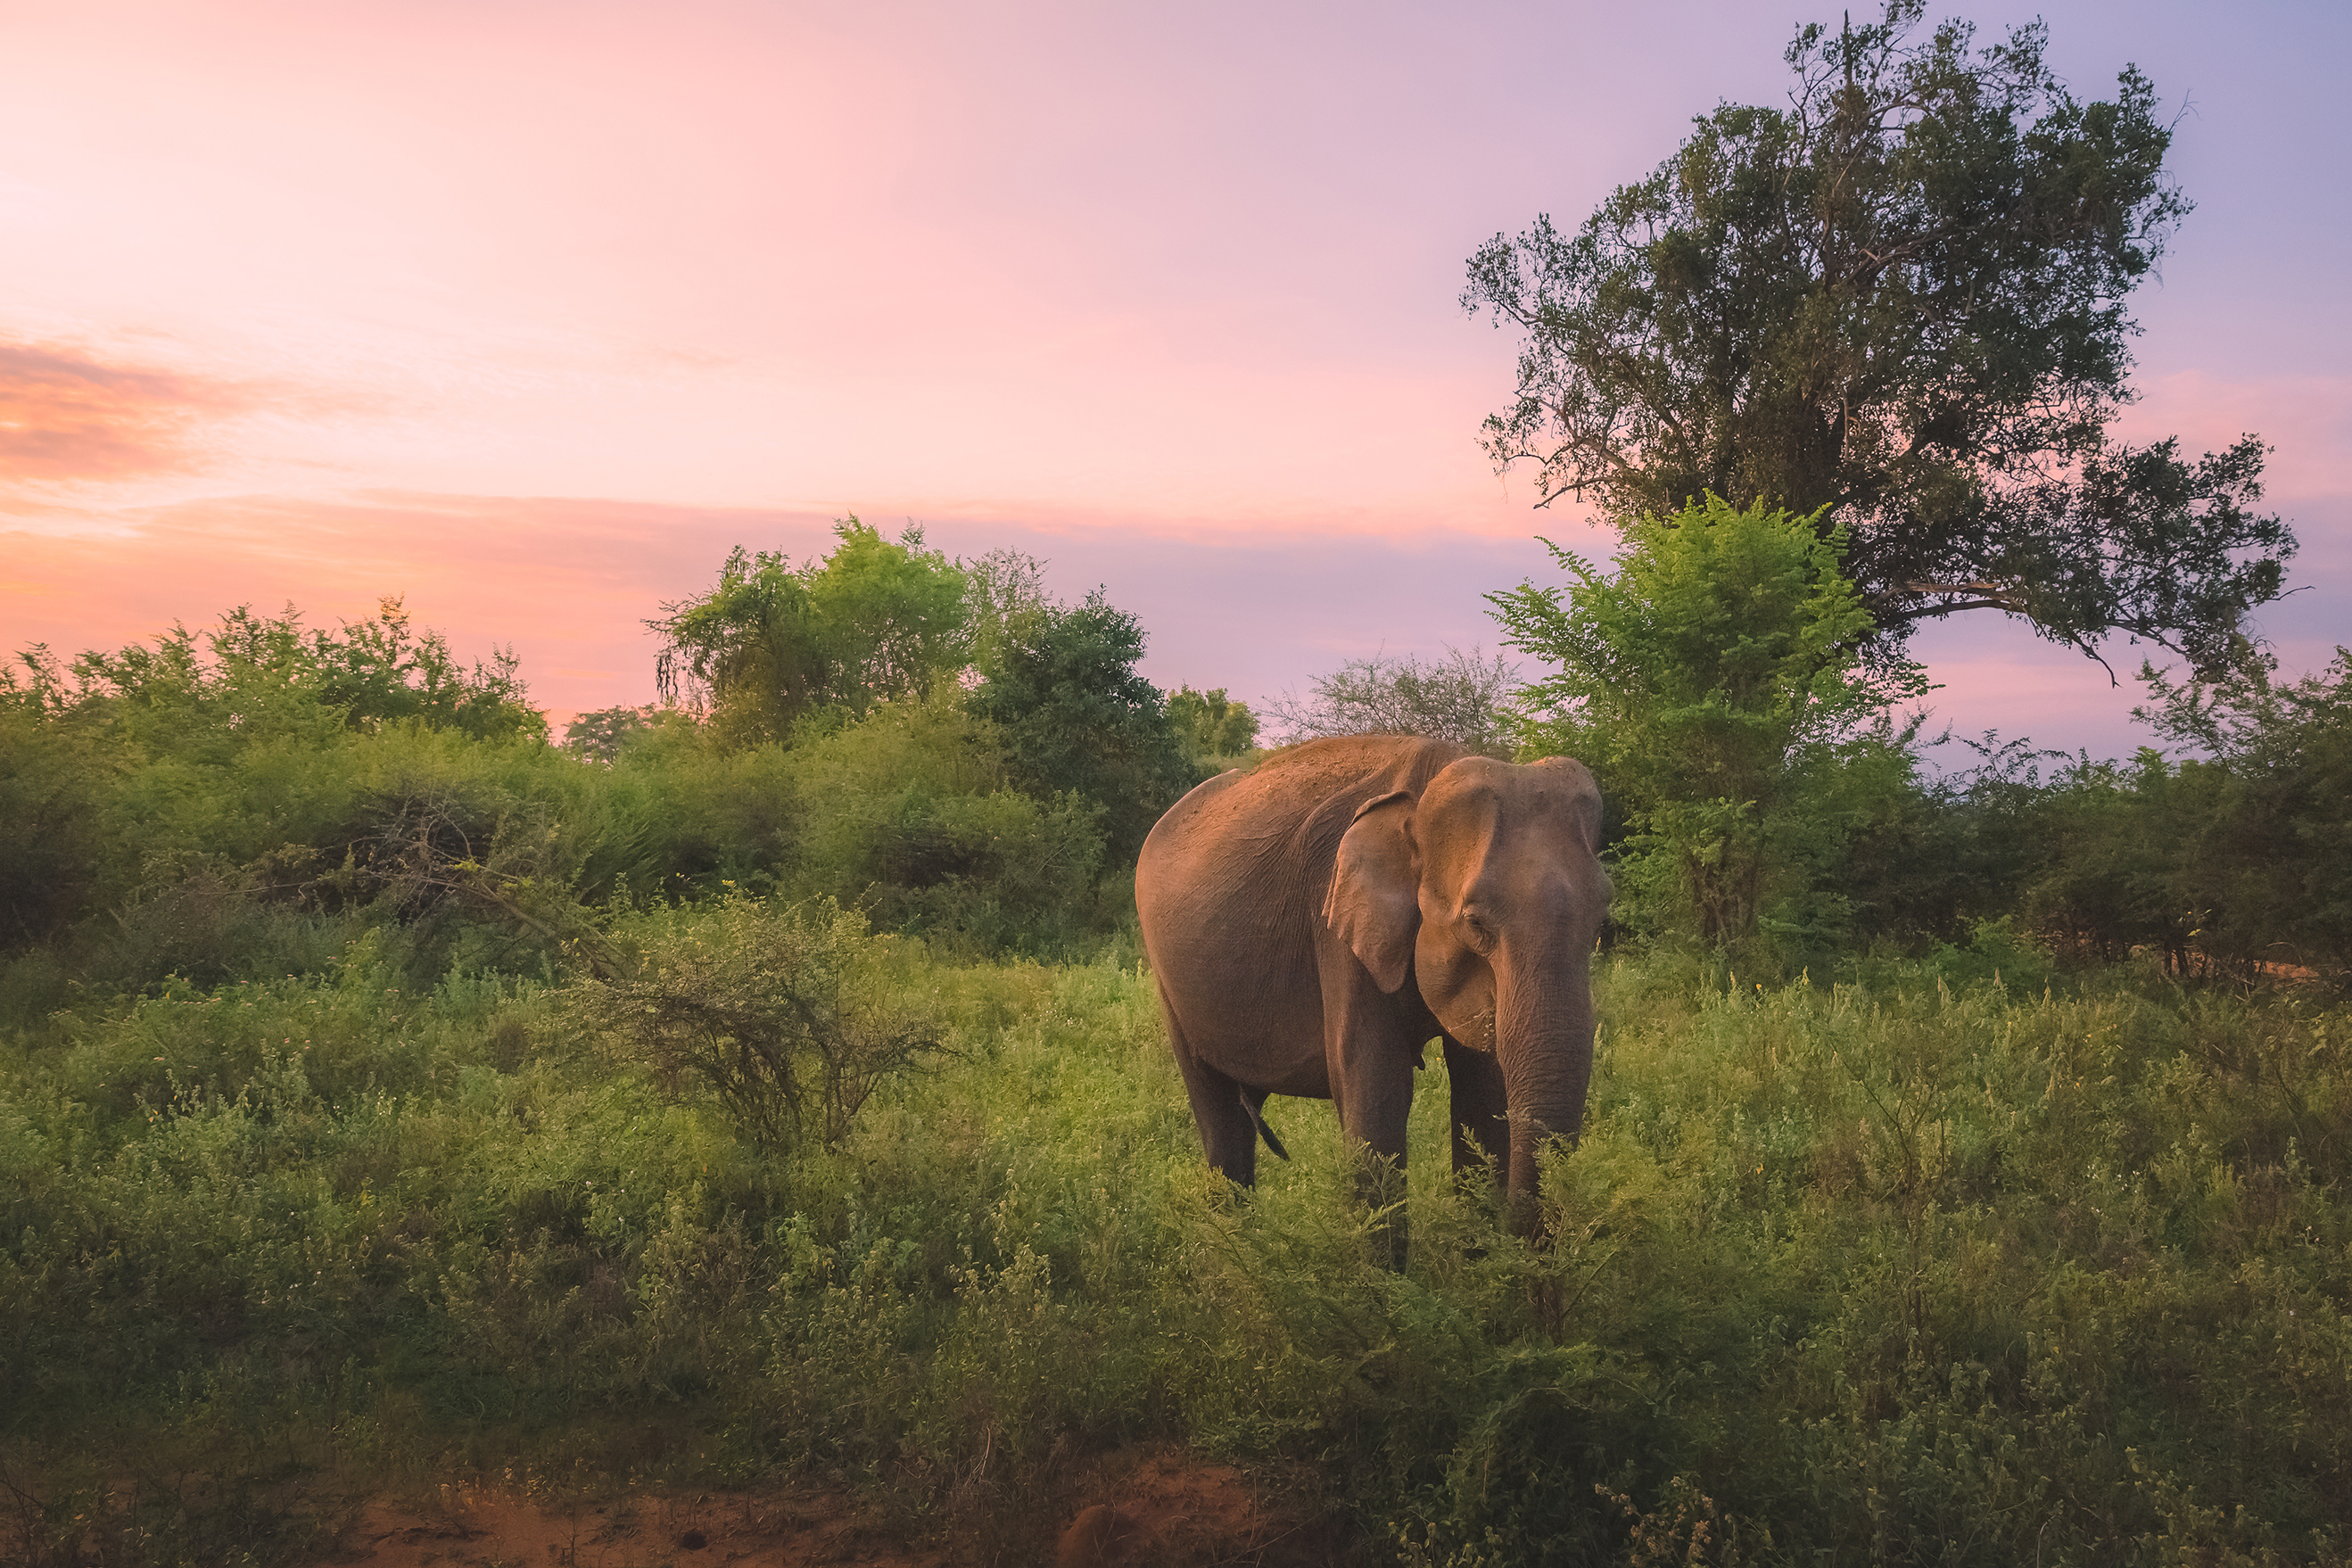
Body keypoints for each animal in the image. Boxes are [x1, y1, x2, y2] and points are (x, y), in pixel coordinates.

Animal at [1135, 734, 1609, 1264]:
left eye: (1601, 919)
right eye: (1476, 924)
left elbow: (1482, 1092)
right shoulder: (1337, 926)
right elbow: (1377, 1092)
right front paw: (1381, 1283)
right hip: (1168, 980)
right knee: (1217, 1116)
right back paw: (1235, 1254)